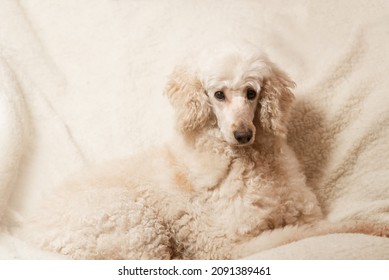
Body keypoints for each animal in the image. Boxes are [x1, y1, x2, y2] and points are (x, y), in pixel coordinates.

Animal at [19, 44, 388, 260]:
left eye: (252, 92)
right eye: (218, 94)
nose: (243, 134)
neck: (247, 162)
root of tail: (31, 229)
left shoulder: (306, 213)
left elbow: (329, 223)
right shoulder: (232, 244)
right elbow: (321, 231)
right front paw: (372, 227)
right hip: (137, 225)